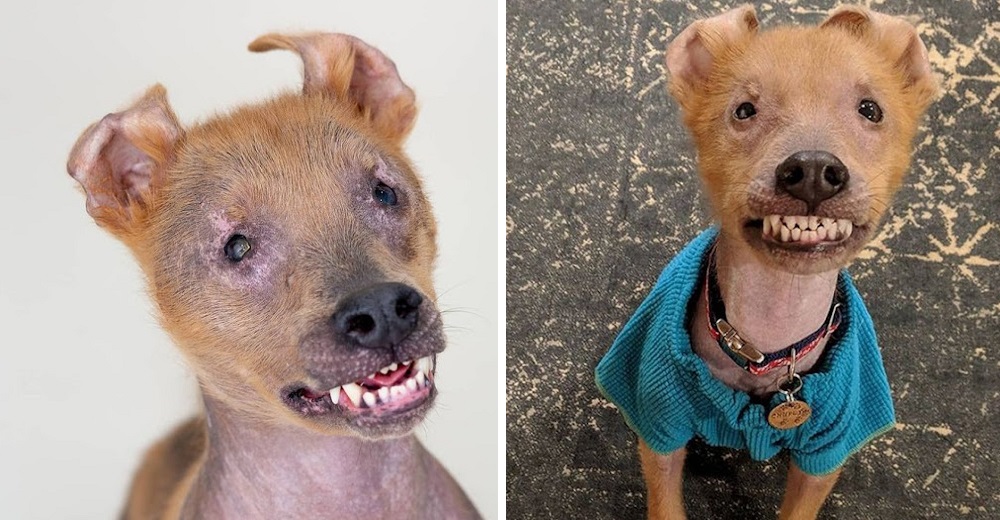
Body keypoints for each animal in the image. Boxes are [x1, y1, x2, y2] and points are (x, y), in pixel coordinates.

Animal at [592, 5, 936, 520]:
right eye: (743, 110)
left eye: (870, 109)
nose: (813, 170)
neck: (768, 343)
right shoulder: (659, 430)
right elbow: (665, 503)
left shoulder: (824, 455)